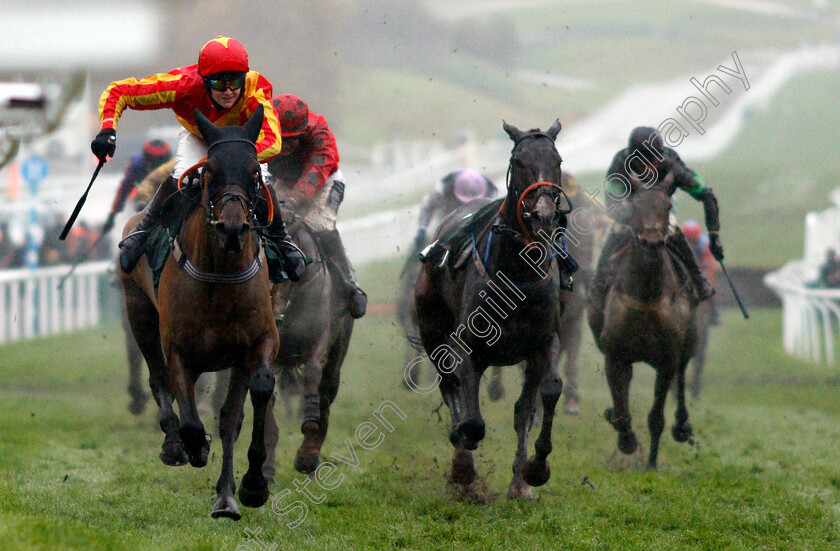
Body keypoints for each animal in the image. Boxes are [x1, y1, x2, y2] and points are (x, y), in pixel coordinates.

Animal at [120, 105, 278, 520]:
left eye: (255, 172)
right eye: (210, 172)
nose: (233, 229)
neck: (220, 276)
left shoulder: (257, 343)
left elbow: (249, 400)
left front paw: (250, 486)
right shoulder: (178, 349)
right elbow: (190, 417)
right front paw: (192, 446)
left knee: (230, 417)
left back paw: (226, 494)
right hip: (139, 313)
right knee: (158, 381)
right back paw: (173, 444)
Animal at [416, 121, 572, 500]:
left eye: (557, 160)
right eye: (518, 161)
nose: (544, 215)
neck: (516, 273)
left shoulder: (544, 341)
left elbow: (542, 396)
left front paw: (534, 470)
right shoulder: (470, 345)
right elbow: (472, 421)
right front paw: (463, 465)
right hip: (432, 330)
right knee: (450, 386)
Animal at [592, 189, 704, 470]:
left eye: (667, 206)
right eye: (634, 206)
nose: (652, 242)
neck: (646, 297)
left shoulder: (667, 360)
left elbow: (656, 417)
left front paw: (651, 463)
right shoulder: (614, 354)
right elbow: (621, 405)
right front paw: (625, 437)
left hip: (689, 343)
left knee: (682, 376)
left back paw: (682, 426)